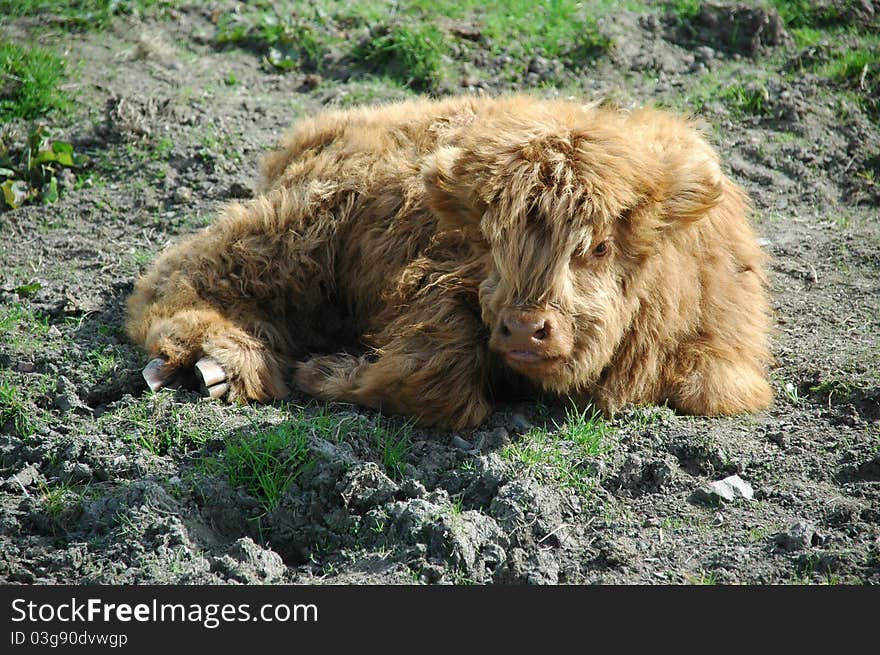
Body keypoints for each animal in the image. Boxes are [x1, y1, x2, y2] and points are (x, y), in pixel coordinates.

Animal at [127, 93, 772, 430]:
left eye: (600, 247)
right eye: (489, 240)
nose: (523, 328)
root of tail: (324, 129)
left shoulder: (722, 369)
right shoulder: (434, 288)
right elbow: (439, 380)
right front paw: (324, 373)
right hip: (299, 228)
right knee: (184, 273)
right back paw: (221, 361)